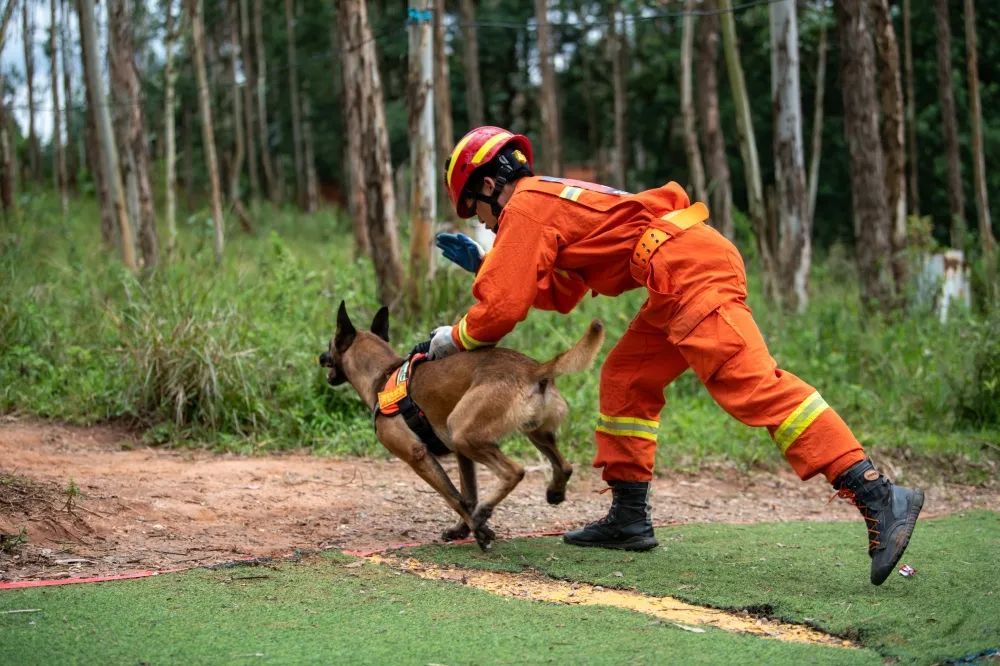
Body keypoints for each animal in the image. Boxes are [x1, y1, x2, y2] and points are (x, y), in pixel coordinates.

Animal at [322, 304, 600, 548]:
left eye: (330, 344)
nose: (320, 357)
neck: (384, 375)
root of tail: (533, 369)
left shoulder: (418, 455)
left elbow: (454, 497)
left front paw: (480, 529)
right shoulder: (461, 455)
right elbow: (467, 495)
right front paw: (464, 529)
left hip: (463, 432)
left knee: (514, 471)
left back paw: (486, 510)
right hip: (531, 433)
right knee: (564, 466)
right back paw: (554, 491)